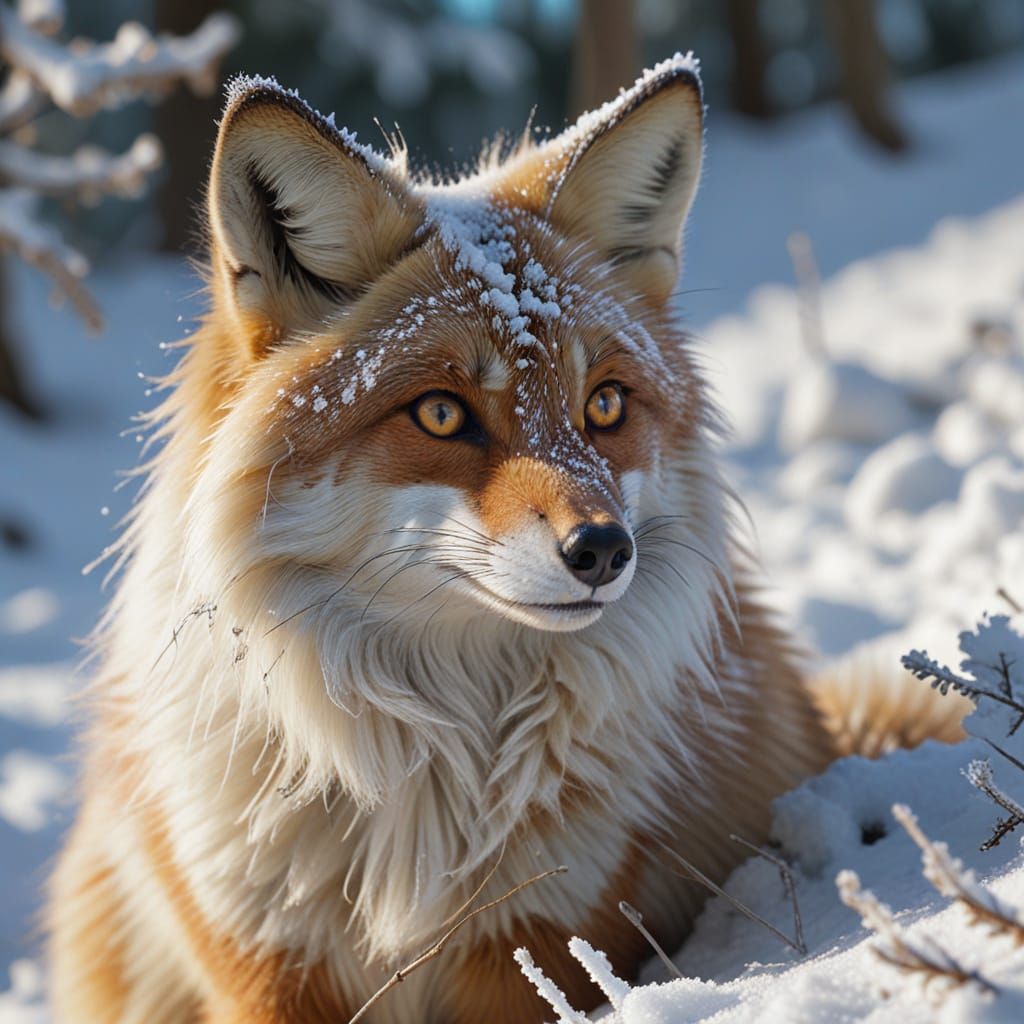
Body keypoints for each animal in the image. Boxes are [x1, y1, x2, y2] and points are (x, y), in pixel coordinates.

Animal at [47, 54, 960, 1023]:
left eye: (606, 405)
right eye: (442, 413)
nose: (603, 550)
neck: (422, 773)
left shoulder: (543, 934)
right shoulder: (259, 948)